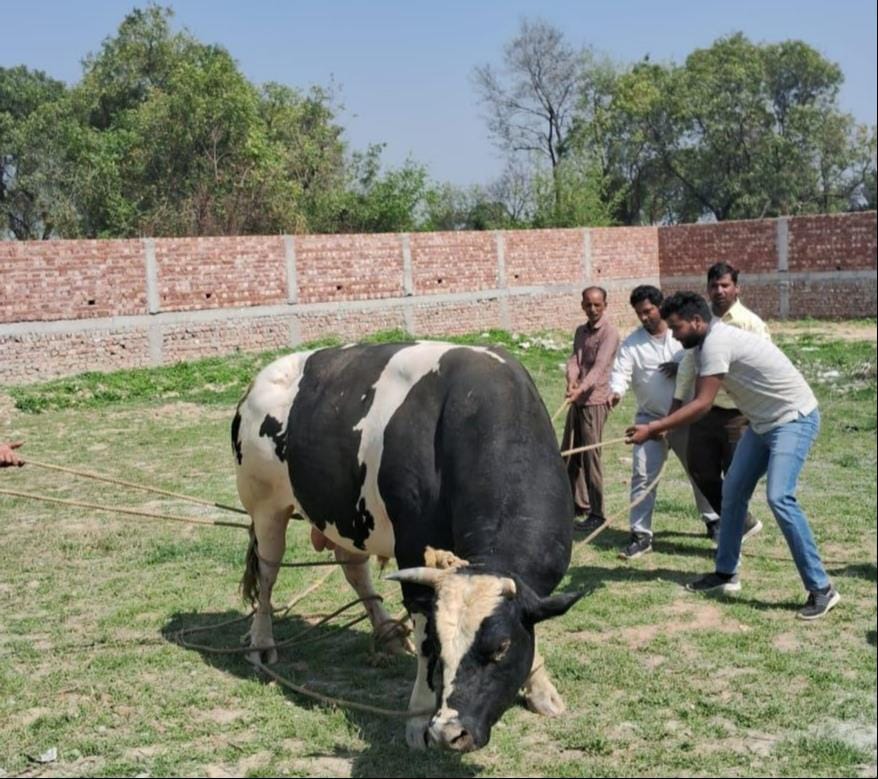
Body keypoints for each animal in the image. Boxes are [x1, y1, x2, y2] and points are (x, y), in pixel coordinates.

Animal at [232, 341, 581, 751]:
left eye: (501, 648)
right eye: (444, 653)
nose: (451, 732)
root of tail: (259, 379)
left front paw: (542, 691)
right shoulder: (414, 549)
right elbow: (424, 633)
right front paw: (417, 722)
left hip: (348, 516)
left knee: (353, 568)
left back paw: (388, 633)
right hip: (266, 508)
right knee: (268, 575)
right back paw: (260, 644)